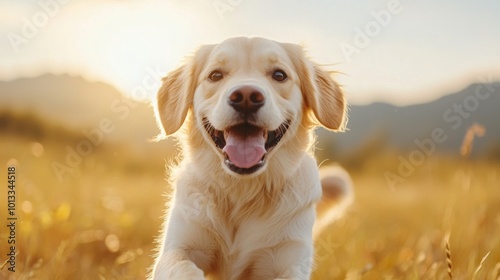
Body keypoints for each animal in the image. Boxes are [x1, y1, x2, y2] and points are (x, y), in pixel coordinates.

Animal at [152, 37, 352, 280]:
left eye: (279, 75)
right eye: (215, 75)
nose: (246, 96)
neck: (242, 190)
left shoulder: (290, 256)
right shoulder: (178, 246)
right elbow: (183, 268)